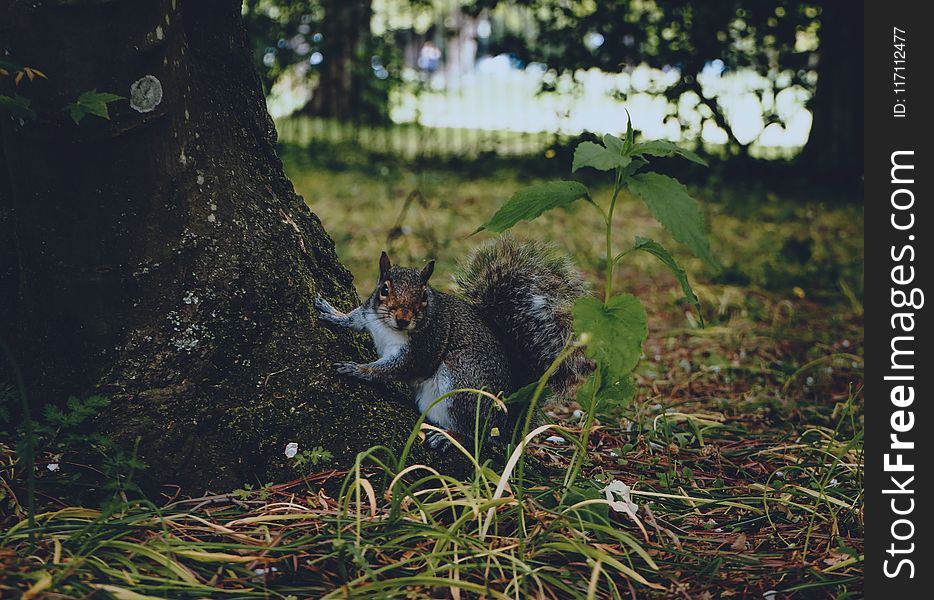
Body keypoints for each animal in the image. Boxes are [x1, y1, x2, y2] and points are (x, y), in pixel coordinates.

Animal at [314, 234, 592, 450]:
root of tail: (504, 419)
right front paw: (332, 313)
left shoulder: (424, 346)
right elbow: (354, 319)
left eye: (424, 296)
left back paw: (450, 437)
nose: (403, 319)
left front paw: (358, 369)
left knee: (478, 435)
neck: (388, 327)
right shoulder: (369, 315)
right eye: (384, 289)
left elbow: (395, 368)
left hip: (461, 377)